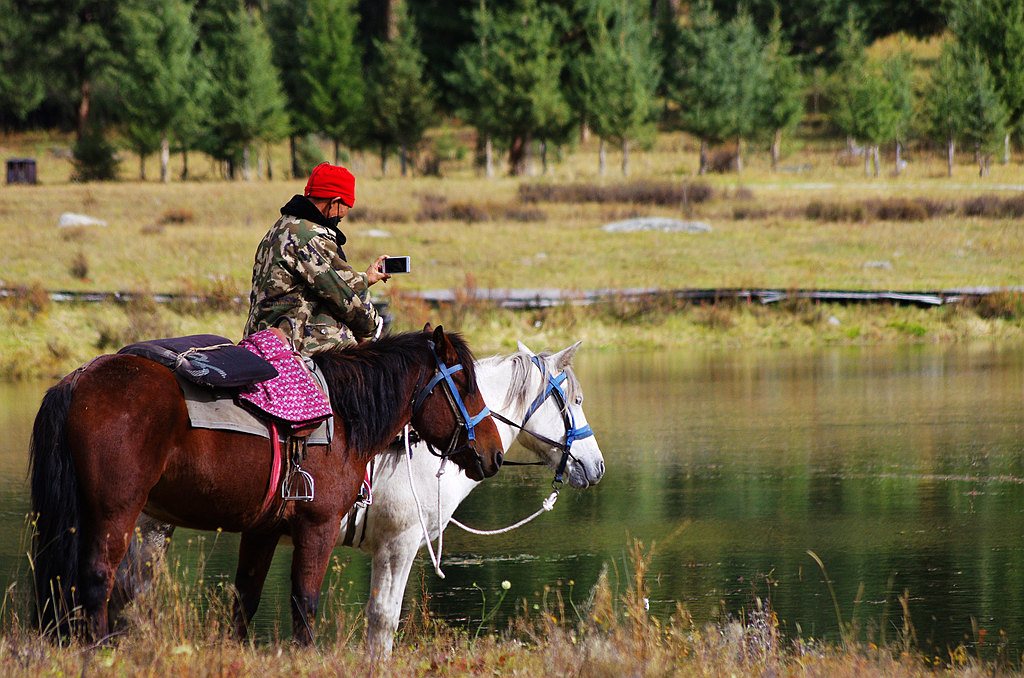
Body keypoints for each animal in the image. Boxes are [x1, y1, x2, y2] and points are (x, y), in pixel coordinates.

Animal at [27, 327, 499, 647]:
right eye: (467, 385)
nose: (493, 453)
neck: (346, 417)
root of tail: (80, 378)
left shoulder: (263, 530)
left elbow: (246, 598)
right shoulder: (319, 527)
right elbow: (304, 602)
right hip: (116, 511)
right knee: (96, 578)